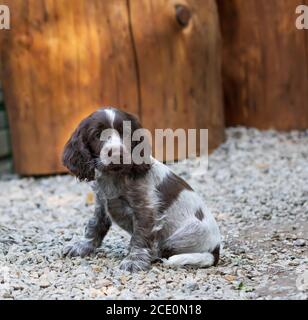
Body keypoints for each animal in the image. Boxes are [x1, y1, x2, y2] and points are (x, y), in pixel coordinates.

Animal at [63, 107, 221, 272]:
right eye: (97, 134)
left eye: (125, 133)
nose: (117, 154)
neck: (114, 177)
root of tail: (216, 250)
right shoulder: (101, 202)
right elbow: (94, 224)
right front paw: (82, 246)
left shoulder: (146, 209)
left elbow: (140, 236)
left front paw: (134, 260)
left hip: (180, 237)